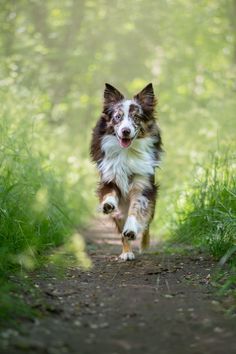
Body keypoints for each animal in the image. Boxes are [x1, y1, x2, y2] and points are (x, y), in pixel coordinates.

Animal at [90, 83, 162, 260]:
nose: (125, 131)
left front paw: (131, 229)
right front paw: (108, 204)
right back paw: (127, 252)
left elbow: (137, 210)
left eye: (136, 117)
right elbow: (109, 194)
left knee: (146, 225)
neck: (126, 153)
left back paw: (144, 246)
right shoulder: (109, 177)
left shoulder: (143, 185)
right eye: (117, 117)